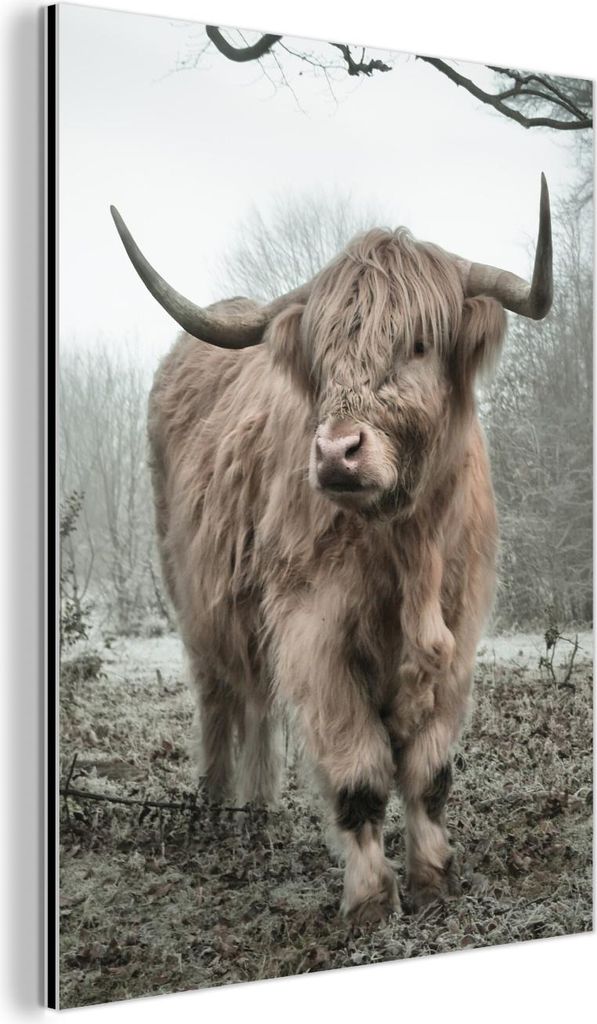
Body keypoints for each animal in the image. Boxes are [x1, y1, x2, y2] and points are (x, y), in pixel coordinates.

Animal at [111, 177, 552, 923]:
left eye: (419, 343)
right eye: (322, 356)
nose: (337, 453)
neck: (406, 547)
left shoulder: (459, 631)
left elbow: (430, 772)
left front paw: (434, 880)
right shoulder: (314, 632)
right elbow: (359, 773)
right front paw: (371, 900)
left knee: (257, 704)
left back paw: (258, 813)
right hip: (194, 603)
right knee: (219, 700)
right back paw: (216, 811)